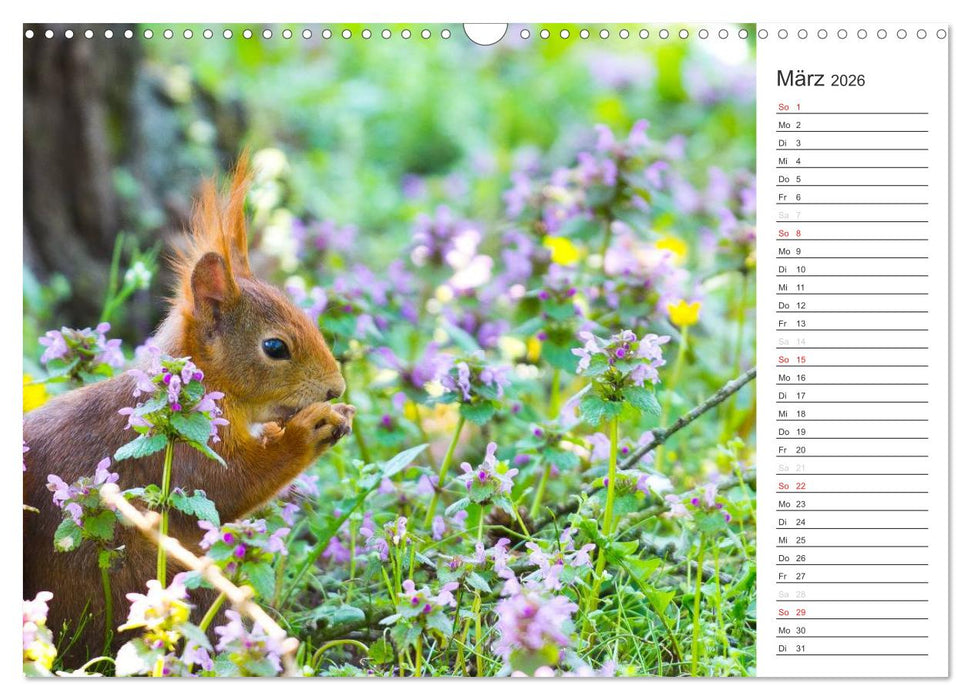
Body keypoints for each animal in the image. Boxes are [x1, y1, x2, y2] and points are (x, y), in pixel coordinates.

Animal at [23, 156, 355, 664]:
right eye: (275, 347)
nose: (336, 389)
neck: (201, 388)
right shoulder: (184, 455)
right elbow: (231, 487)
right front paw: (309, 429)